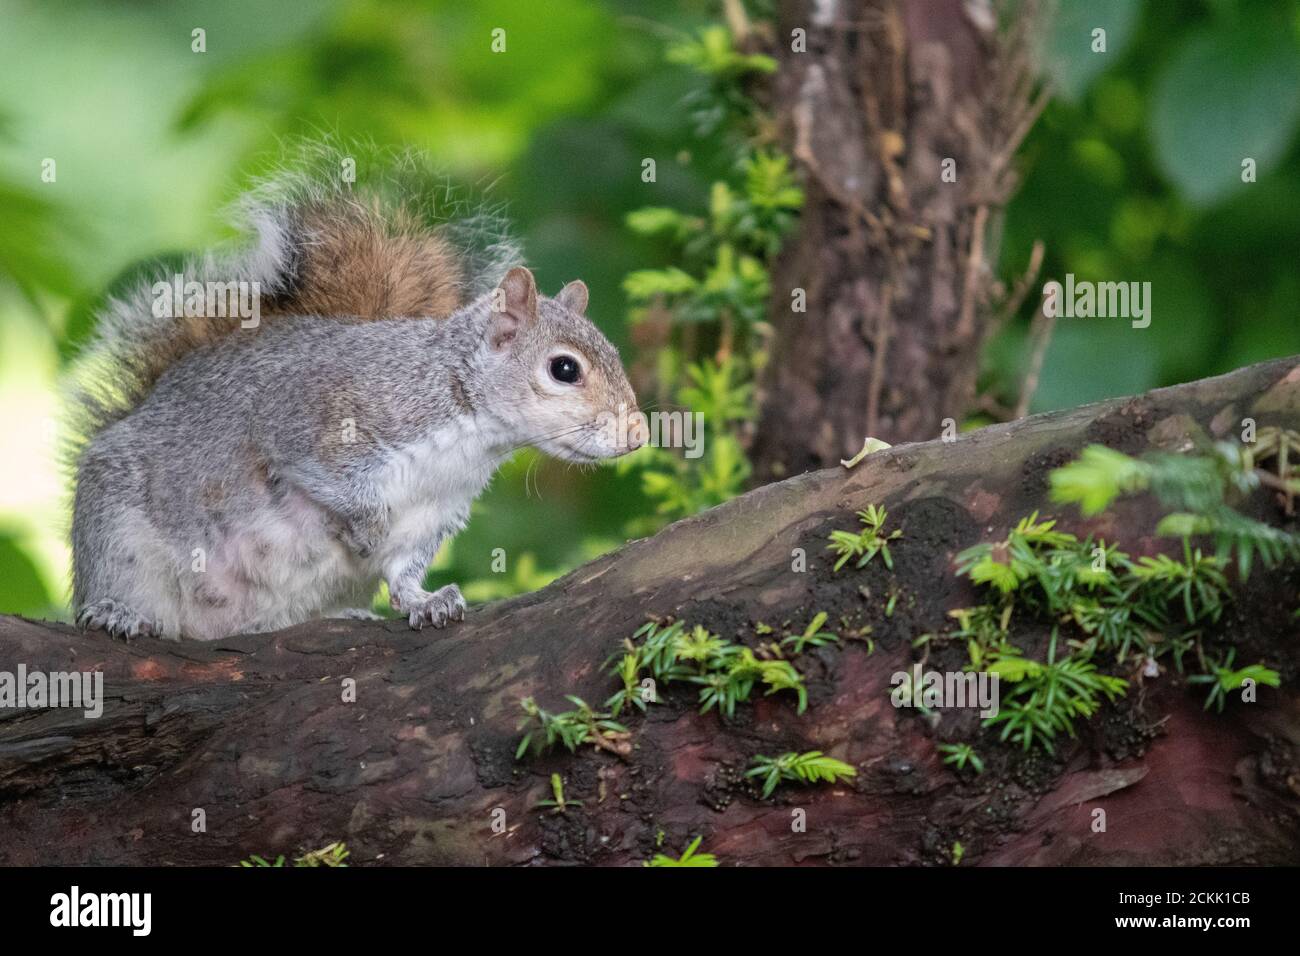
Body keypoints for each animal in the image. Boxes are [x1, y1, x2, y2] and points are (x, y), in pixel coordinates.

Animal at [65, 151, 644, 642]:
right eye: (564, 369)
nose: (638, 433)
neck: (466, 427)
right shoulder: (306, 420)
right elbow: (327, 479)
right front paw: (365, 527)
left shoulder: (434, 512)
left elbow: (404, 568)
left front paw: (424, 601)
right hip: (117, 533)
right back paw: (116, 612)